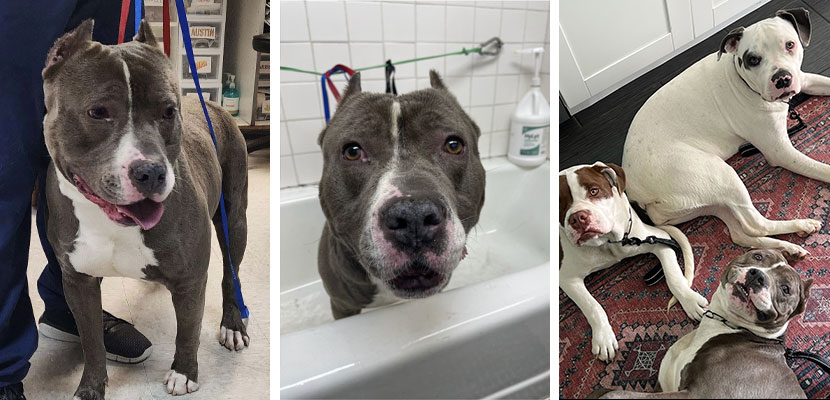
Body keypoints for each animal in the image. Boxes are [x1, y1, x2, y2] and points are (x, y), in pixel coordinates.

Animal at [42, 20, 250, 398]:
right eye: (98, 112)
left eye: (168, 112)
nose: (151, 172)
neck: (112, 223)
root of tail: (211, 103)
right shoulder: (77, 281)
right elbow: (91, 342)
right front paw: (90, 387)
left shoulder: (191, 279)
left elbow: (188, 330)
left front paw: (184, 373)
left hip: (234, 219)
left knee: (231, 274)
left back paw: (233, 325)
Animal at [596, 248, 816, 398]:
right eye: (758, 257)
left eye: (786, 289)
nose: (758, 275)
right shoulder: (662, 386)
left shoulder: (698, 394)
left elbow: (612, 393)